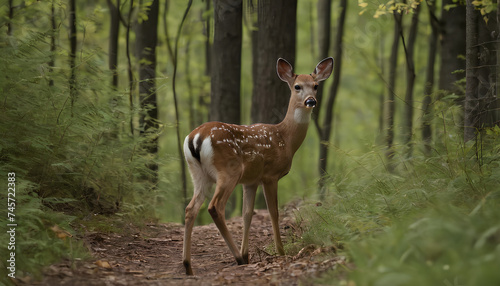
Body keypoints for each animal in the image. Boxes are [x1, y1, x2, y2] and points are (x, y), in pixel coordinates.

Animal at [182, 56, 334, 274]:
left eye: (316, 86)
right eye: (297, 86)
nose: (310, 101)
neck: (285, 139)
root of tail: (196, 138)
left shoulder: (251, 181)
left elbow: (247, 214)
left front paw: (247, 254)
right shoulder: (270, 175)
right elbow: (274, 212)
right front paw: (280, 251)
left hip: (198, 174)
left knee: (190, 208)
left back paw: (188, 266)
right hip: (229, 170)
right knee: (215, 207)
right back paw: (236, 258)